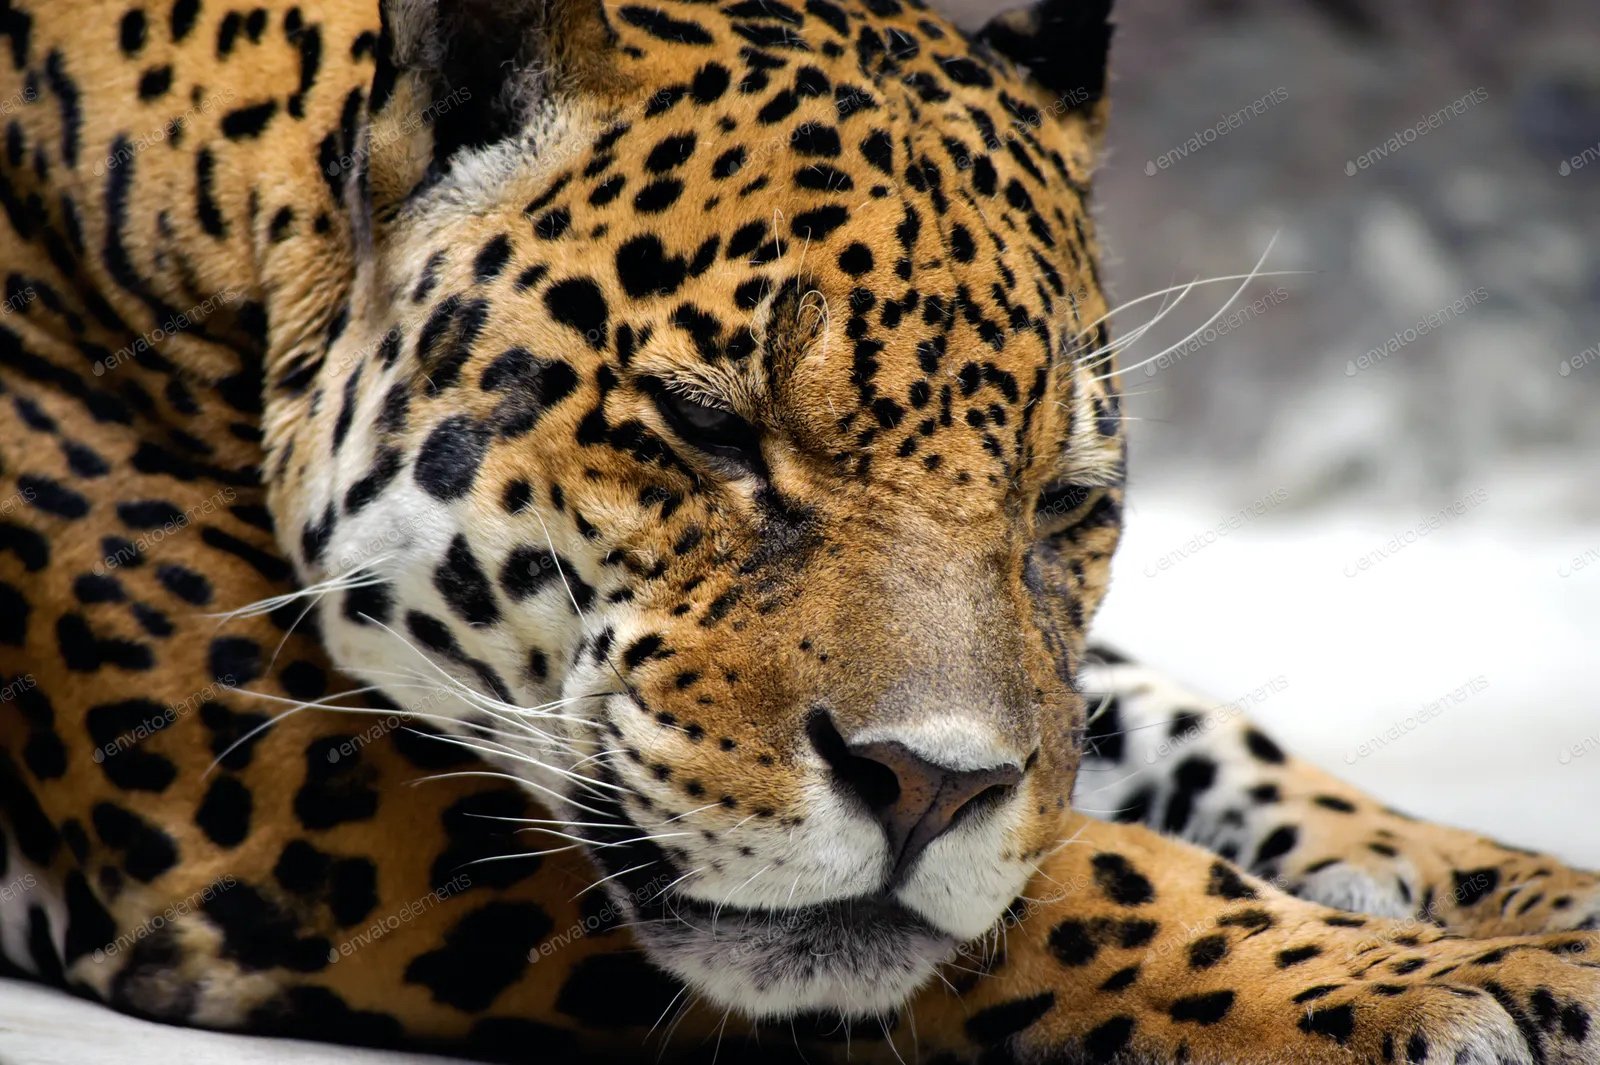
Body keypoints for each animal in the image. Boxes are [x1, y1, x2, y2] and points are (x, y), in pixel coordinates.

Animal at [0, 0, 1598, 1062]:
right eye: (709, 430)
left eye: (1062, 505)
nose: (929, 792)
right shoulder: (265, 758)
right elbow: (1079, 875)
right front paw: (1409, 982)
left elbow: (1170, 736)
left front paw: (1539, 908)